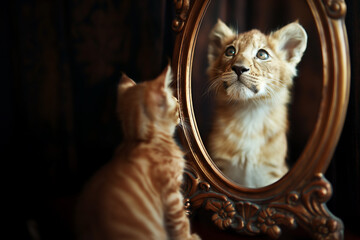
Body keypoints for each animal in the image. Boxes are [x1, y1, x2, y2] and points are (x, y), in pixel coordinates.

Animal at [75, 65, 200, 240]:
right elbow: (181, 222)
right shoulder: (172, 194)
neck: (138, 140)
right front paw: (189, 237)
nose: (180, 107)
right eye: (175, 102)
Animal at [208, 20, 306, 188]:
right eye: (230, 51)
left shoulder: (273, 172)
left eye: (262, 54)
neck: (249, 111)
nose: (239, 68)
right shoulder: (221, 165)